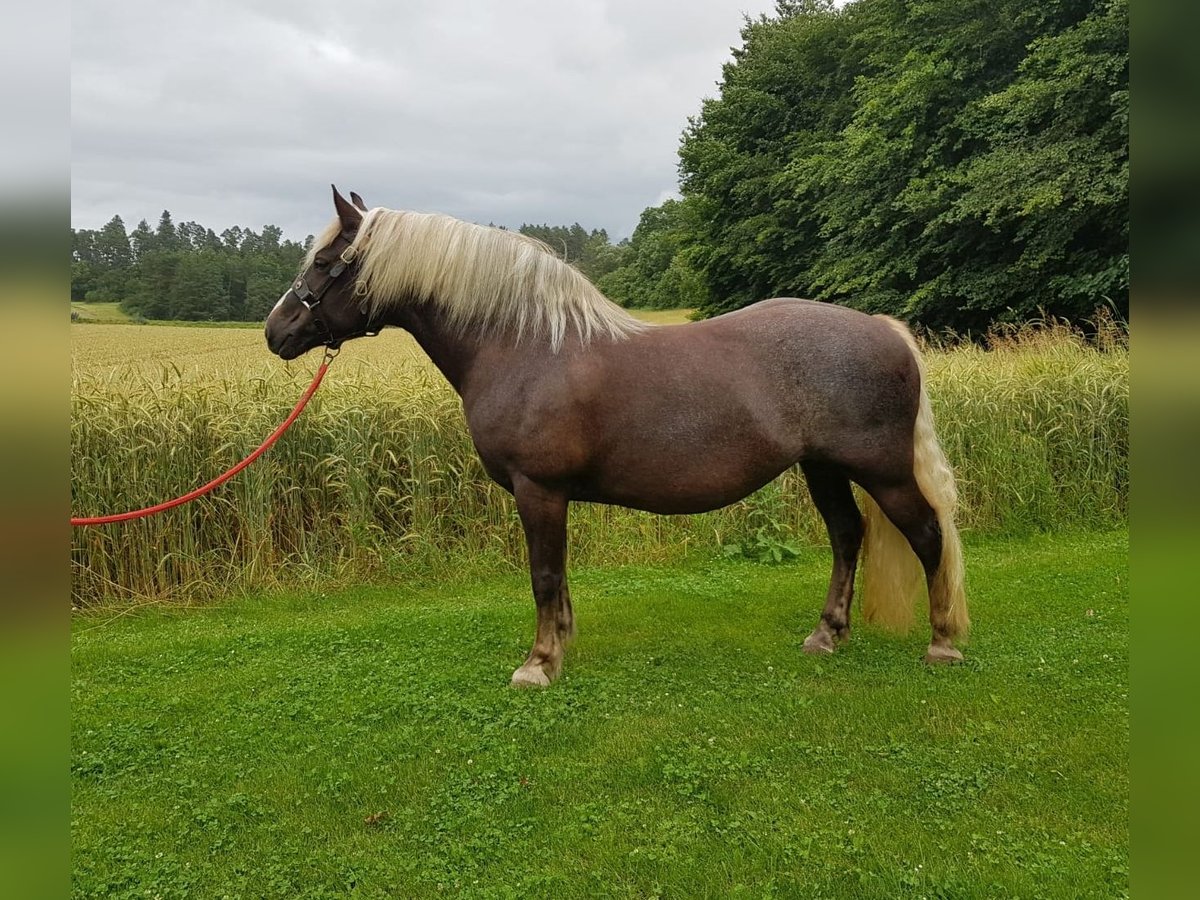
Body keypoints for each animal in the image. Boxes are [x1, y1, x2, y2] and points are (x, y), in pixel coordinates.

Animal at [262, 187, 964, 686]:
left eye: (324, 262)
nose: (275, 331)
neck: (523, 345)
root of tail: (881, 329)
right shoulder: (549, 497)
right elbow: (558, 575)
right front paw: (559, 646)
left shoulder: (538, 489)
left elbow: (543, 574)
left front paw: (537, 664)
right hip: (824, 468)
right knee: (848, 536)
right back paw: (827, 635)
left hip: (882, 471)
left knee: (928, 536)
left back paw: (942, 643)